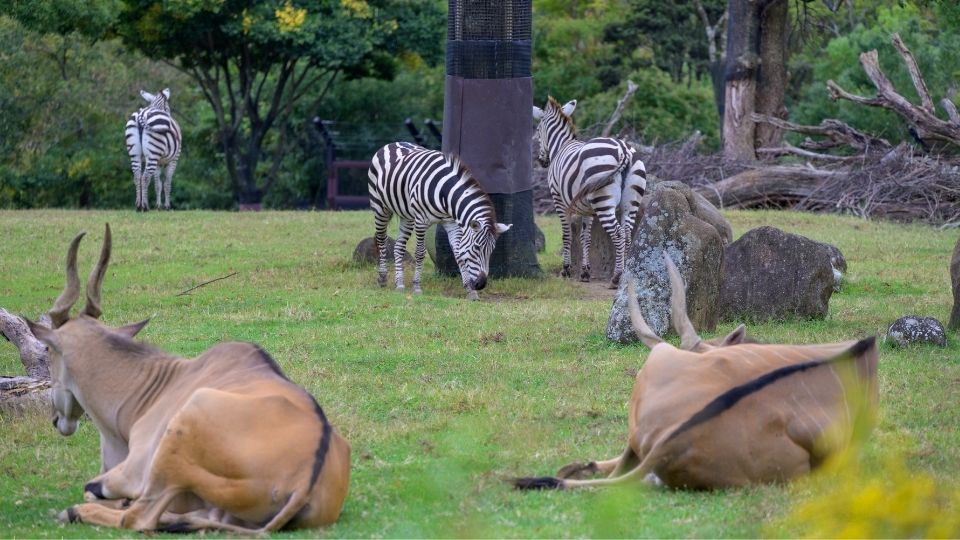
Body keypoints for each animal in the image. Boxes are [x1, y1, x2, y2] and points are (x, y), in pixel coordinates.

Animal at [24, 224, 350, 532]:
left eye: (48, 350)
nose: (57, 419)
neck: (154, 386)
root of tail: (304, 482)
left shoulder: (131, 473)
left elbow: (99, 490)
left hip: (184, 427)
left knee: (139, 517)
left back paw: (77, 512)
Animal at [368, 141, 512, 302]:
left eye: (491, 250)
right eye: (476, 248)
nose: (481, 284)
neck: (445, 194)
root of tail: (393, 143)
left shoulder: (452, 224)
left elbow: (459, 254)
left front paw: (470, 291)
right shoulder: (421, 221)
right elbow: (420, 253)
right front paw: (417, 287)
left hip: (407, 216)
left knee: (399, 246)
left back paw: (399, 284)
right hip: (380, 208)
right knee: (381, 240)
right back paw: (382, 278)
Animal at [528, 98, 648, 288]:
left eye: (538, 131)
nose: (542, 161)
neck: (561, 146)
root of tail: (623, 149)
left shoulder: (558, 201)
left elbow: (567, 235)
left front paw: (566, 270)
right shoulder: (587, 209)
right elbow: (585, 237)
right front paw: (585, 272)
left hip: (603, 201)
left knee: (618, 233)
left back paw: (617, 277)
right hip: (631, 202)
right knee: (628, 234)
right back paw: (627, 274)